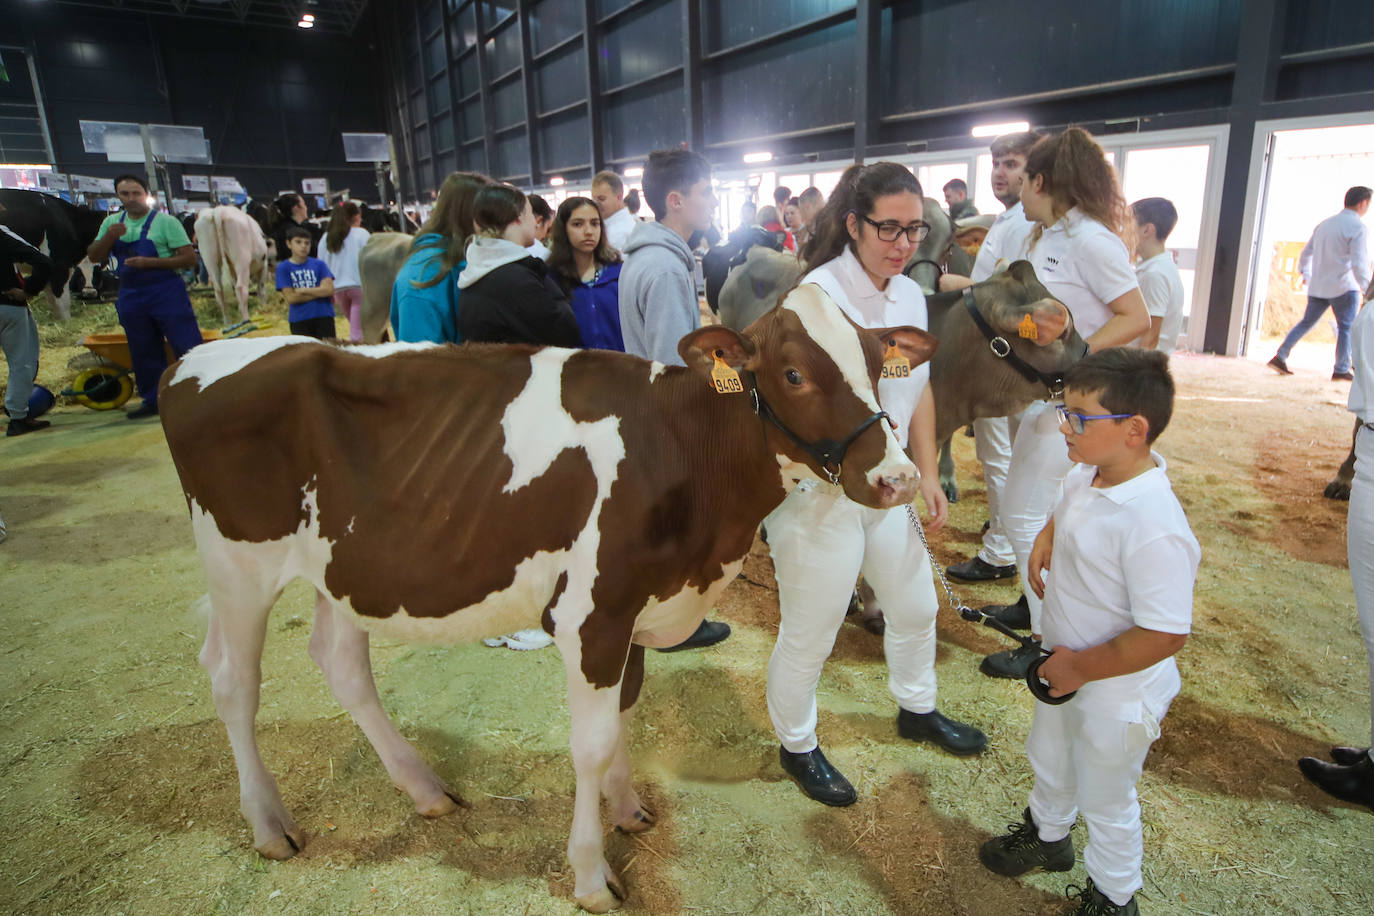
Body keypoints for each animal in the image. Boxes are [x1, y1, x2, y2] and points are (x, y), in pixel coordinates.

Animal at [0, 188, 105, 321]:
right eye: (79, 275)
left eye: (98, 271)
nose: (89, 293)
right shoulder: (59, 265)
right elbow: (62, 302)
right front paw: (66, 322)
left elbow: (51, 299)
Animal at [160, 282, 934, 911]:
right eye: (794, 373)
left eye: (876, 363)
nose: (898, 478)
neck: (681, 450)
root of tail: (196, 359)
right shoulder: (594, 612)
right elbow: (590, 744)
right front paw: (592, 875)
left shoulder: (637, 609)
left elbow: (624, 715)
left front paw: (628, 810)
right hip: (237, 563)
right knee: (232, 680)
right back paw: (269, 823)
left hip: (344, 566)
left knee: (340, 661)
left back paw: (425, 789)